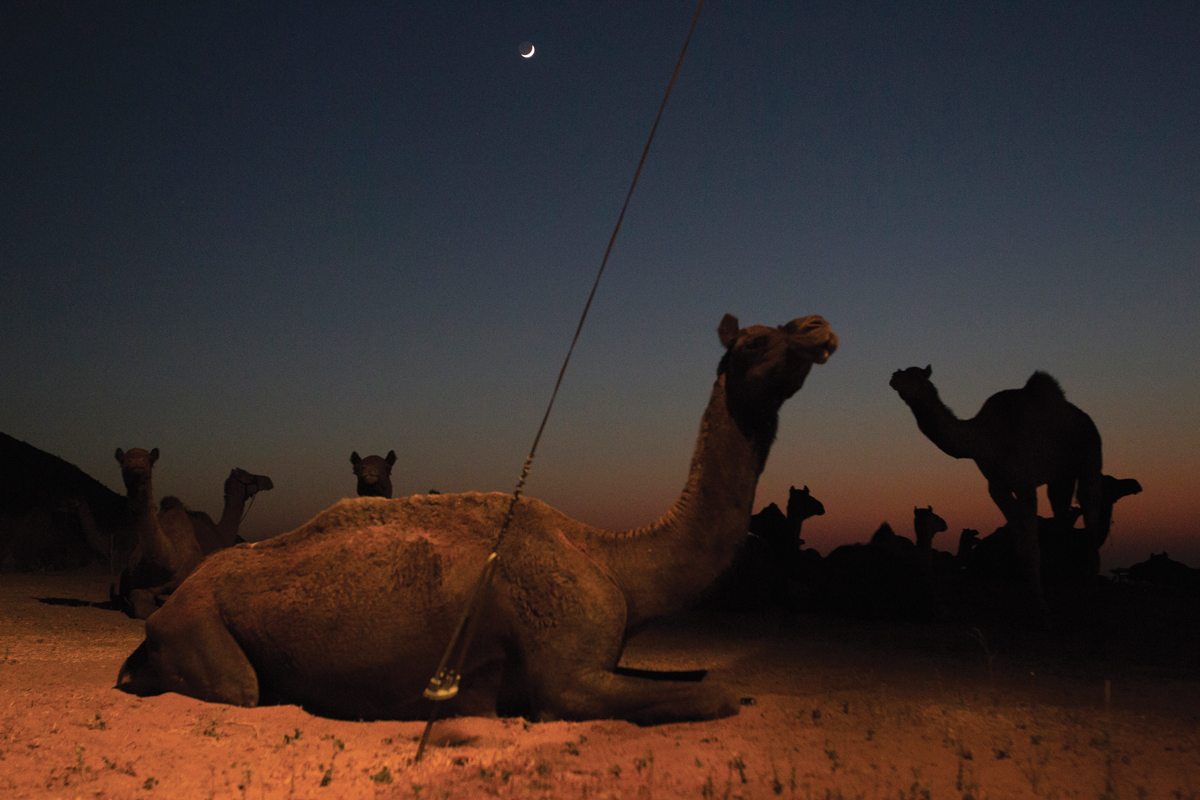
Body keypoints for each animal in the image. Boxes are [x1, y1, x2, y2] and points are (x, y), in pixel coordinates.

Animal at [890, 366, 1105, 619]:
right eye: (900, 372)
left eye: (916, 376)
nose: (894, 379)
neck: (988, 437)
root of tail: (1086, 419)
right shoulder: (997, 487)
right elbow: (1020, 544)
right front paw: (1032, 602)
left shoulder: (1025, 483)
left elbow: (1032, 544)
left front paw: (1040, 607)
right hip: (1061, 477)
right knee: (1062, 516)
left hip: (1090, 457)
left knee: (1090, 516)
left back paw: (1095, 599)